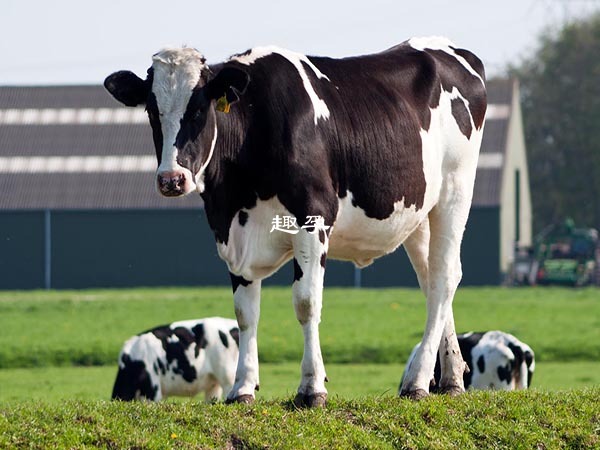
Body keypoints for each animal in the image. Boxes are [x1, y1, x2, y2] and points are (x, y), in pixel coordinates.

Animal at [104, 37, 488, 406]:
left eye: (199, 109)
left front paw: (311, 387)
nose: (172, 179)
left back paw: (418, 381)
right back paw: (451, 379)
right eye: (152, 111)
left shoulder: (313, 219)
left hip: (455, 192)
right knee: (431, 281)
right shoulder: (233, 234)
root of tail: (452, 50)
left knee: (444, 276)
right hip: (418, 215)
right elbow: (245, 313)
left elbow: (306, 302)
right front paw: (242, 388)